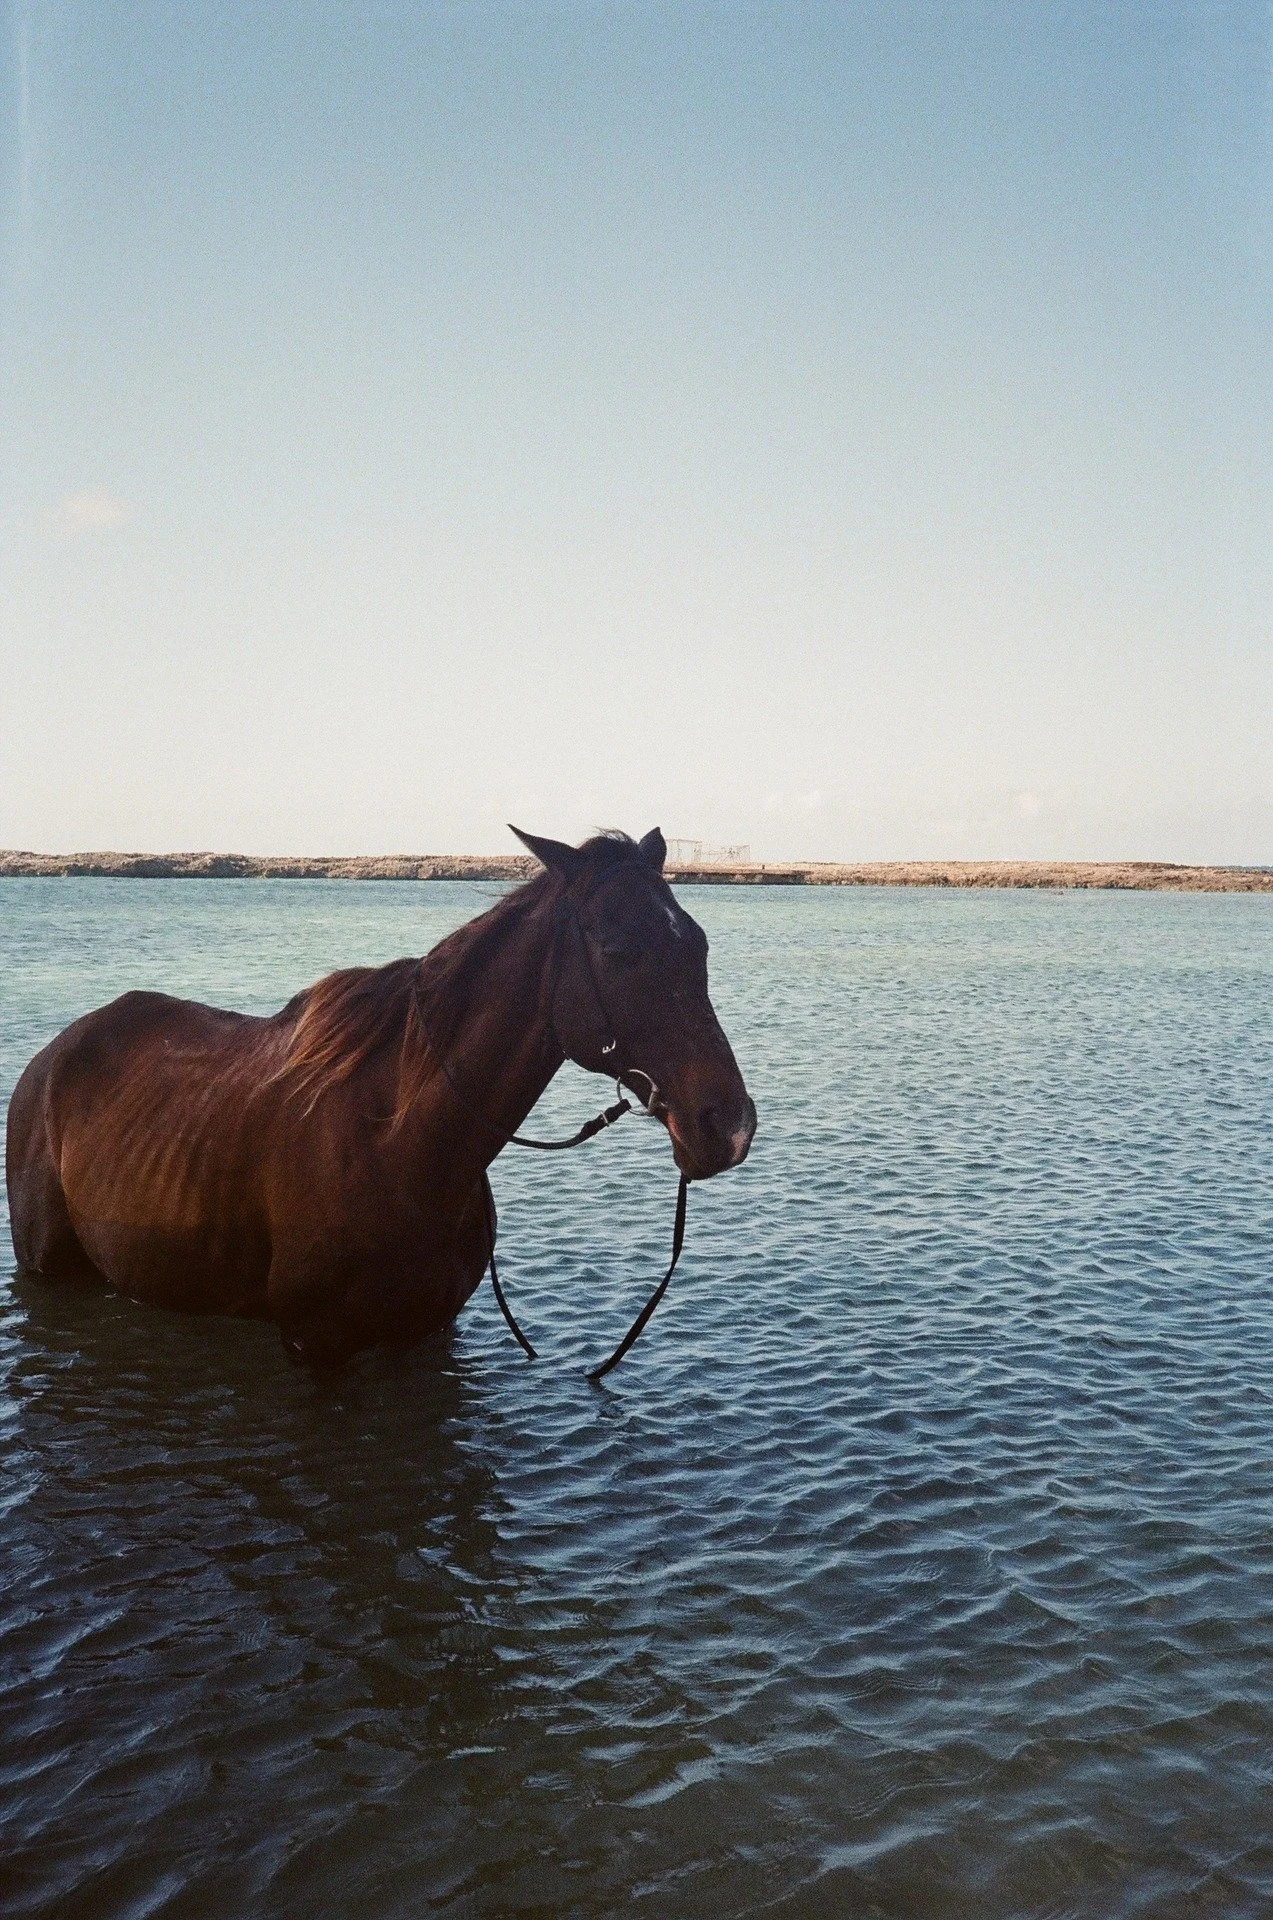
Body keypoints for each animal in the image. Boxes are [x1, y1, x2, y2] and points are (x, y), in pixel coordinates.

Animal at [5, 827, 756, 1367]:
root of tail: (48, 1061)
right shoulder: (316, 1345)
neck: (404, 1145)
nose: (729, 1126)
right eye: (620, 952)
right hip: (49, 1272)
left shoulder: (425, 1331)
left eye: (698, 945)